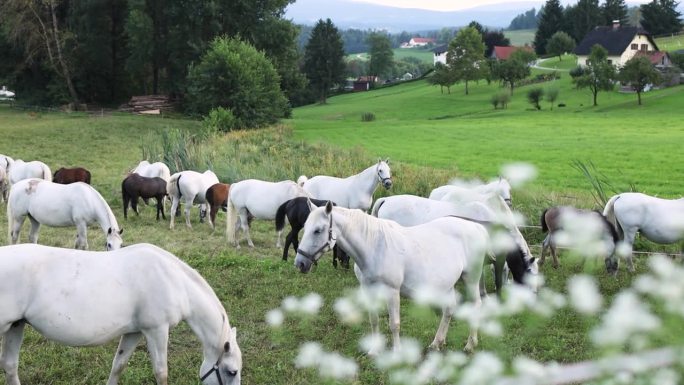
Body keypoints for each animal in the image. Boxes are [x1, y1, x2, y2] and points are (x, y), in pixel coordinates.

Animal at [0, 243, 242, 384]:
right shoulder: (157, 331)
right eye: (232, 372)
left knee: (10, 366)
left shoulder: (134, 332)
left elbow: (119, 365)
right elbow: (161, 372)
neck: (174, 280)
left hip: (16, 325)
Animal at [296, 202, 488, 352]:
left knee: (476, 305)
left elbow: (394, 324)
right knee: (449, 309)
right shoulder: (368, 289)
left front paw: (397, 353)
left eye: (317, 230)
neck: (375, 246)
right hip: (448, 284)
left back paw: (470, 344)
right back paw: (437, 343)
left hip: (471, 279)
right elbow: (373, 320)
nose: (300, 263)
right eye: (305, 227)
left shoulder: (392, 292)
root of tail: (476, 227)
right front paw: (374, 350)